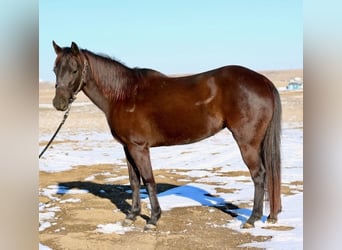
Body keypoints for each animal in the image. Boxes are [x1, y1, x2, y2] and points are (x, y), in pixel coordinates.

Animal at [50, 40, 280, 229]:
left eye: (74, 70)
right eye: (54, 69)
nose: (58, 103)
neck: (124, 95)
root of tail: (263, 81)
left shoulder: (139, 147)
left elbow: (148, 180)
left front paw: (153, 219)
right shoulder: (127, 148)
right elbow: (134, 181)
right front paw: (132, 216)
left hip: (247, 142)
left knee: (259, 175)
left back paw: (251, 219)